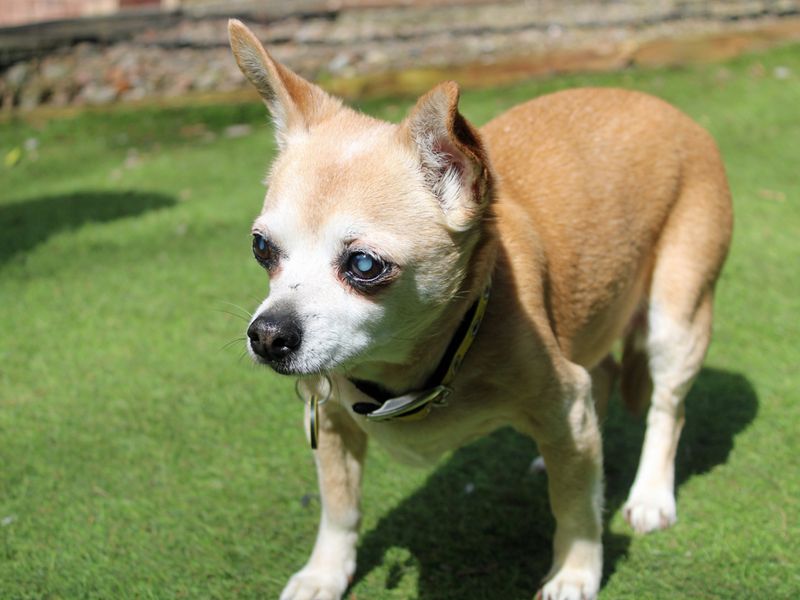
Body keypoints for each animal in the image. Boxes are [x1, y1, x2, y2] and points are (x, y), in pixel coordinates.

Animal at [228, 18, 736, 600]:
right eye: (262, 248)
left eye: (363, 264)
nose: (267, 334)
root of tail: (666, 107)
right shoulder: (329, 420)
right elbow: (339, 506)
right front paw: (325, 573)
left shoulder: (564, 391)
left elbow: (575, 508)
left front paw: (575, 571)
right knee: (600, 381)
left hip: (677, 318)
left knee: (667, 408)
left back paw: (650, 494)